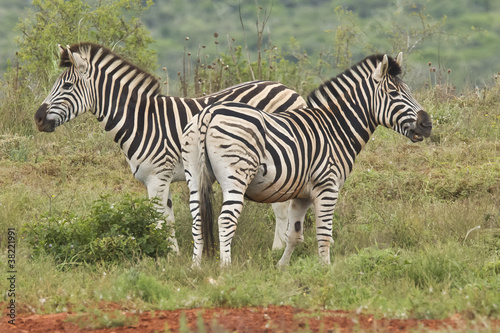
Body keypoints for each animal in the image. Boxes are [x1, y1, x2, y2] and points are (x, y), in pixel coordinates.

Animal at [34, 42, 304, 253]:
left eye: (67, 86)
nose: (37, 118)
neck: (141, 121)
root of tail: (289, 90)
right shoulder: (158, 178)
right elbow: (168, 217)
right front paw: (172, 253)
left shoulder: (156, 177)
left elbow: (160, 219)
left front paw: (164, 255)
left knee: (281, 205)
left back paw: (277, 248)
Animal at [182, 53, 432, 266]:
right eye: (394, 94)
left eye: (409, 91)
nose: (427, 124)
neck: (335, 129)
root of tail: (209, 113)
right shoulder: (327, 187)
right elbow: (324, 234)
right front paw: (325, 269)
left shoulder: (301, 195)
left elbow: (294, 234)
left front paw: (281, 267)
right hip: (236, 177)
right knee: (225, 220)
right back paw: (226, 267)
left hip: (194, 176)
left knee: (197, 219)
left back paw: (196, 266)